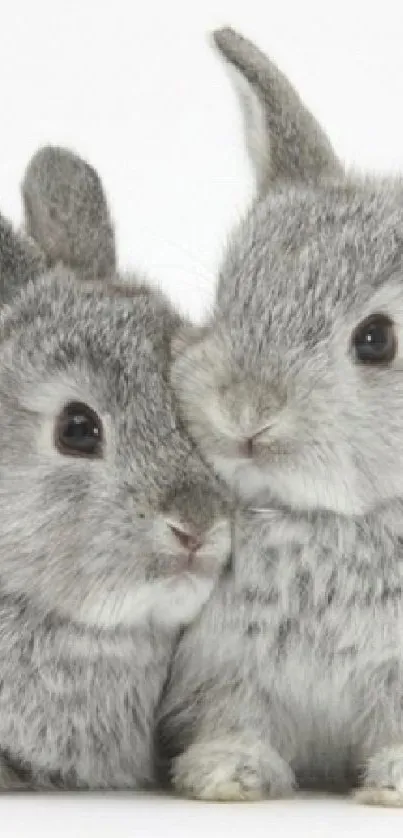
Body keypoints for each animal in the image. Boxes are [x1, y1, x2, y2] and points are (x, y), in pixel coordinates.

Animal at [157, 29, 403, 812]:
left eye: (376, 340)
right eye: (231, 296)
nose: (243, 414)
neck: (326, 520)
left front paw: (390, 783)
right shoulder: (228, 667)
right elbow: (238, 715)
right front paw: (225, 775)